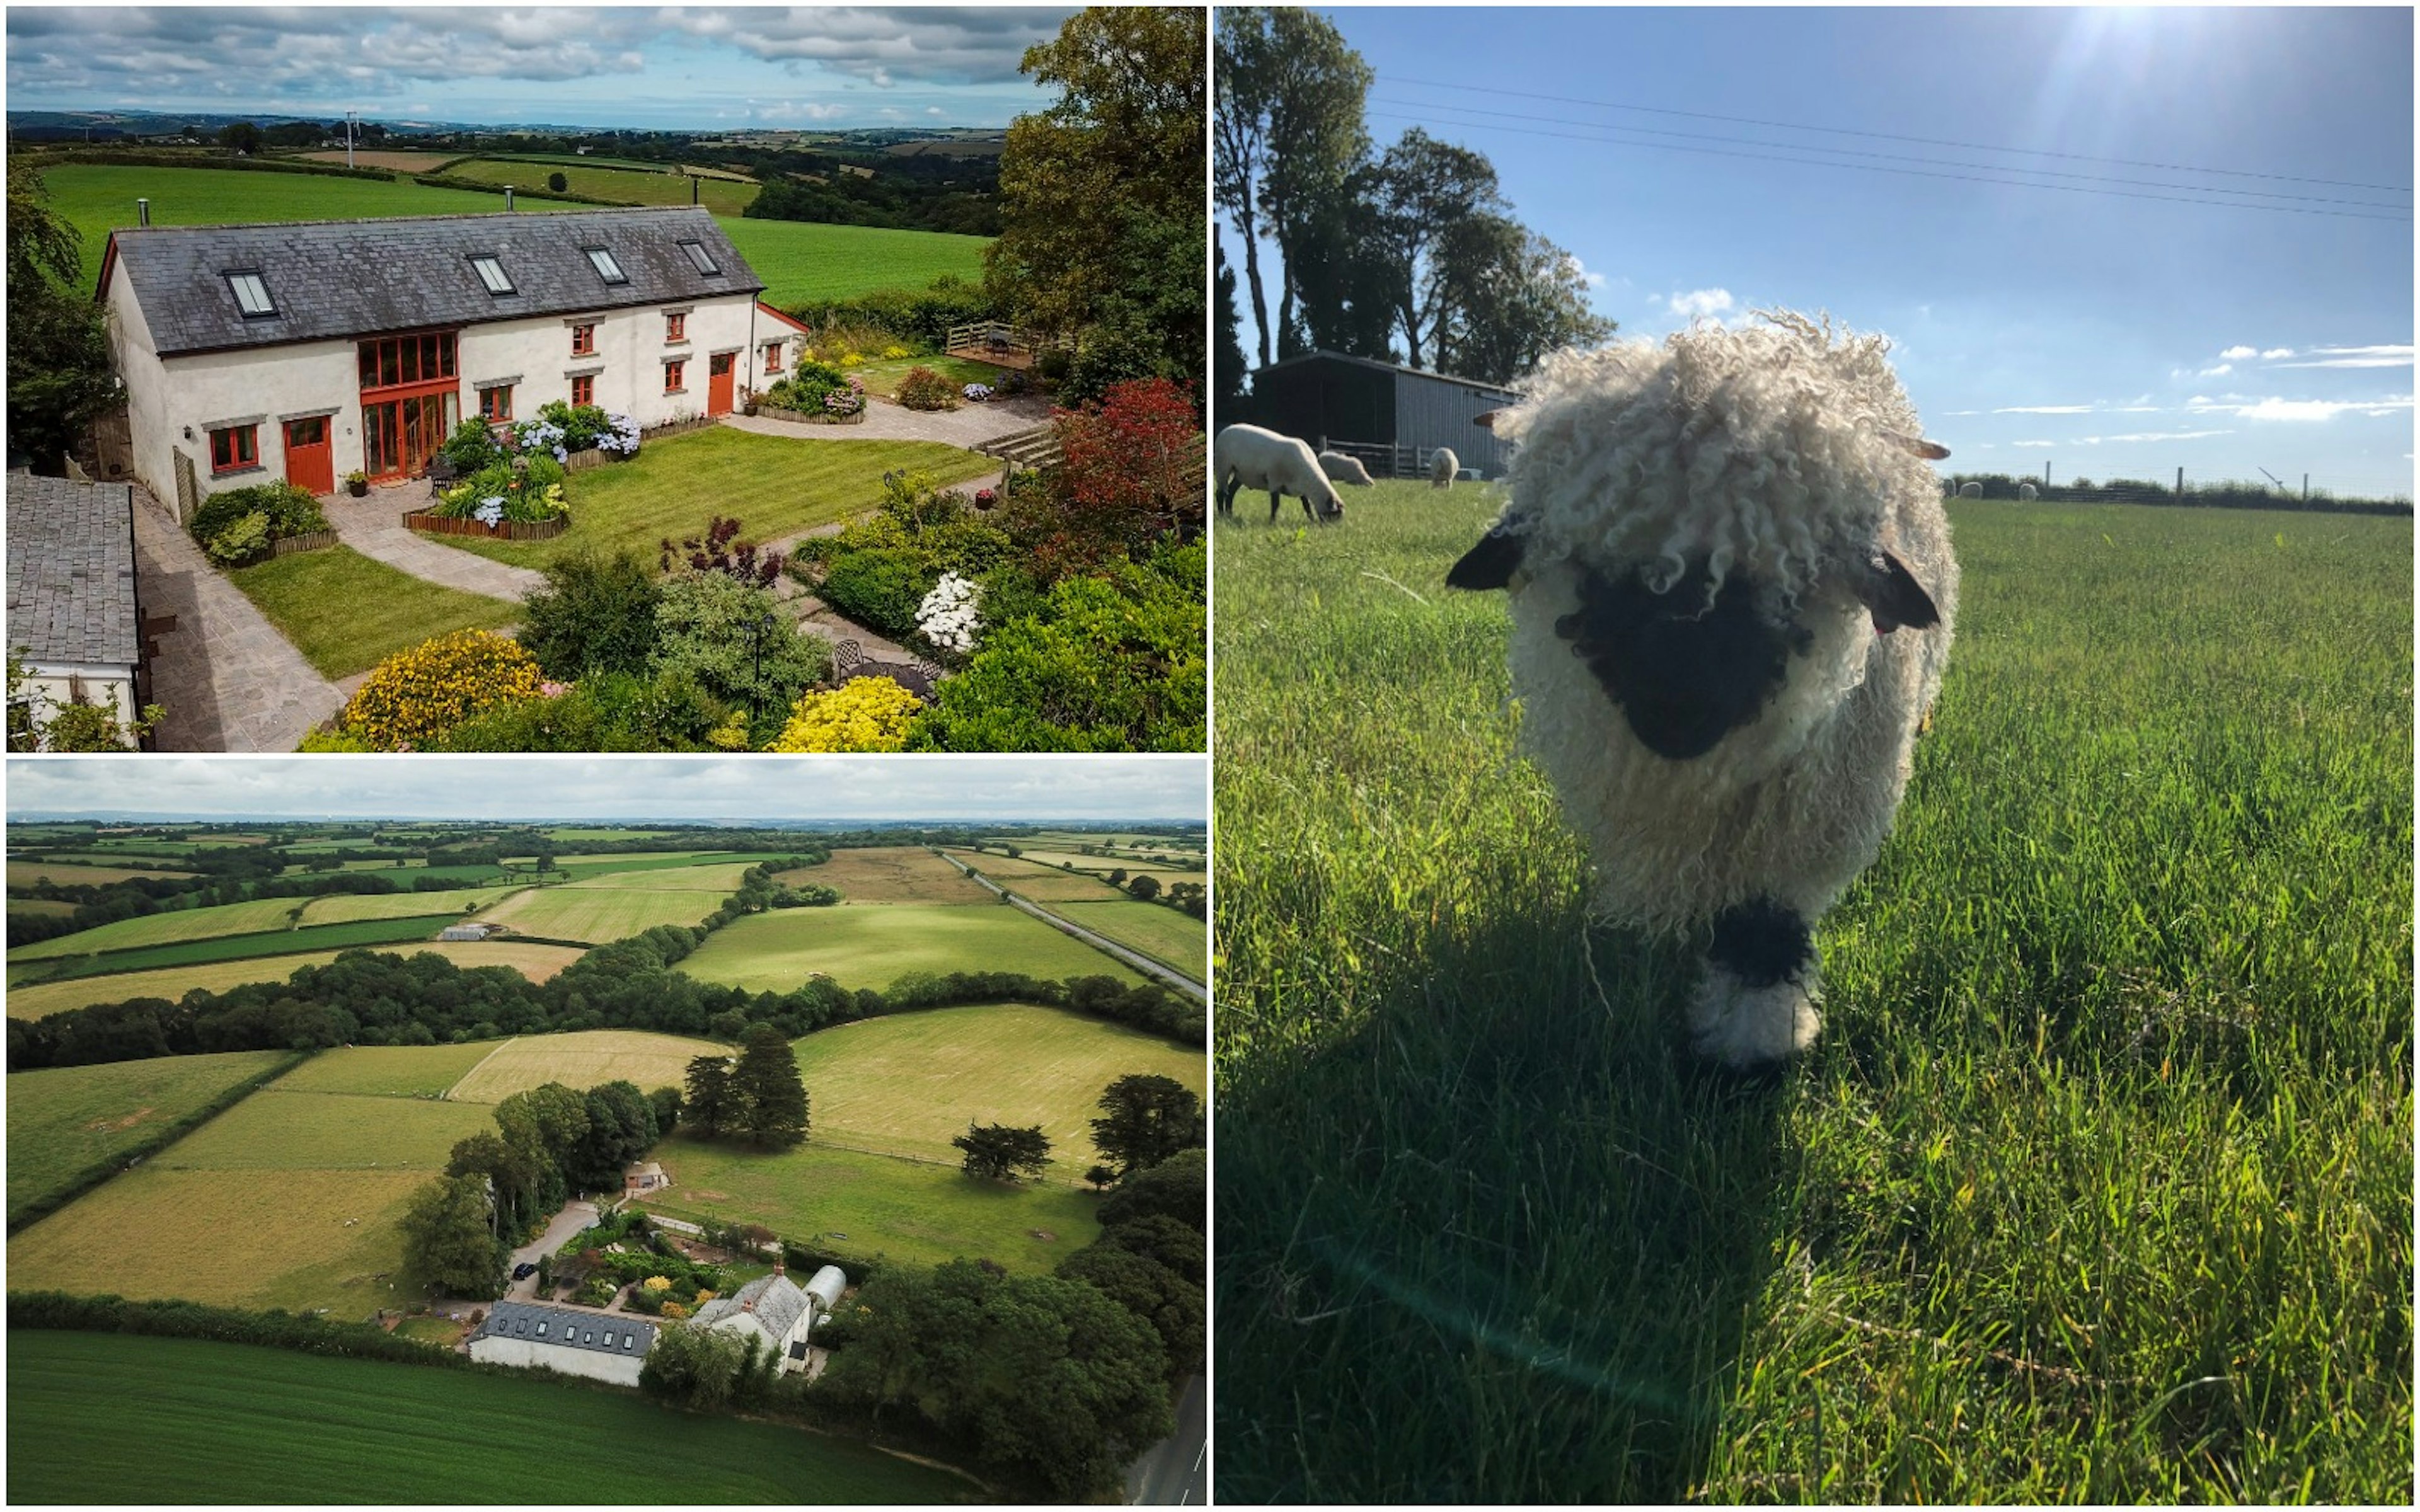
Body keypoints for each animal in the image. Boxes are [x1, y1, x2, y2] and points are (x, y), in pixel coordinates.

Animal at [1210, 421, 1345, 522]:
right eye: (1335, 515)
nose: (1330, 530)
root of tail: (1226, 430)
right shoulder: (1275, 480)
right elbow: (1276, 504)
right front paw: (1272, 522)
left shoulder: (1301, 488)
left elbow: (1306, 505)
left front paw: (1311, 520)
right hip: (1223, 466)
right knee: (1221, 493)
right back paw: (1222, 515)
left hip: (1241, 474)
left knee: (1231, 492)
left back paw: (1230, 515)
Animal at [1442, 309, 1955, 1059]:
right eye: (1592, 570)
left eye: (1790, 581)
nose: (1676, 712)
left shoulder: (1810, 811)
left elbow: (1764, 922)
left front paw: (1755, 1036)